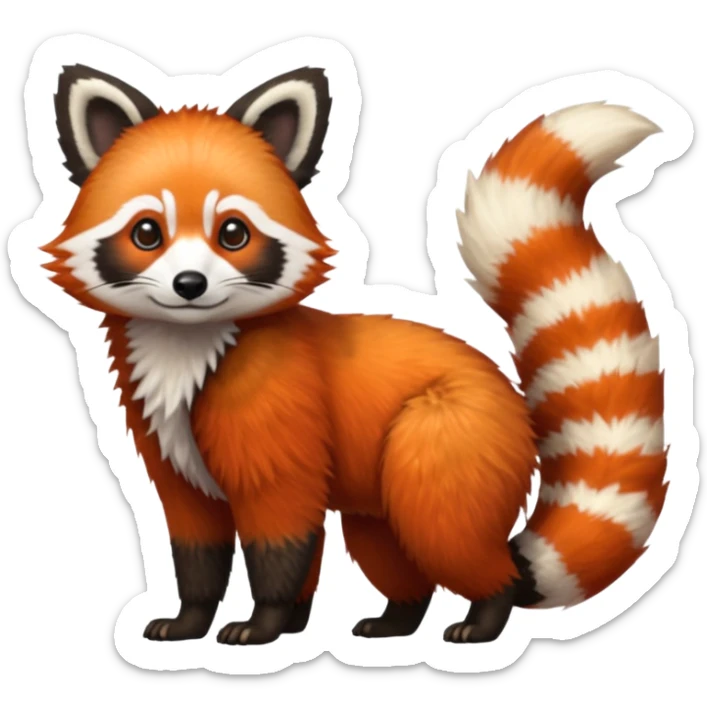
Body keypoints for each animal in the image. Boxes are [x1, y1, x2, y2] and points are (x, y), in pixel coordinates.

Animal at [41, 63, 667, 646]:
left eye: (233, 234)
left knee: (449, 534)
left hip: (445, 439)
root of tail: (512, 406)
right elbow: (198, 539)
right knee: (385, 546)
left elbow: (281, 528)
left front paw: (265, 621)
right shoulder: (172, 448)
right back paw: (399, 618)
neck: (188, 347)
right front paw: (200, 618)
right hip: (382, 486)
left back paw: (487, 613)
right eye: (147, 233)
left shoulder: (280, 415)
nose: (189, 285)